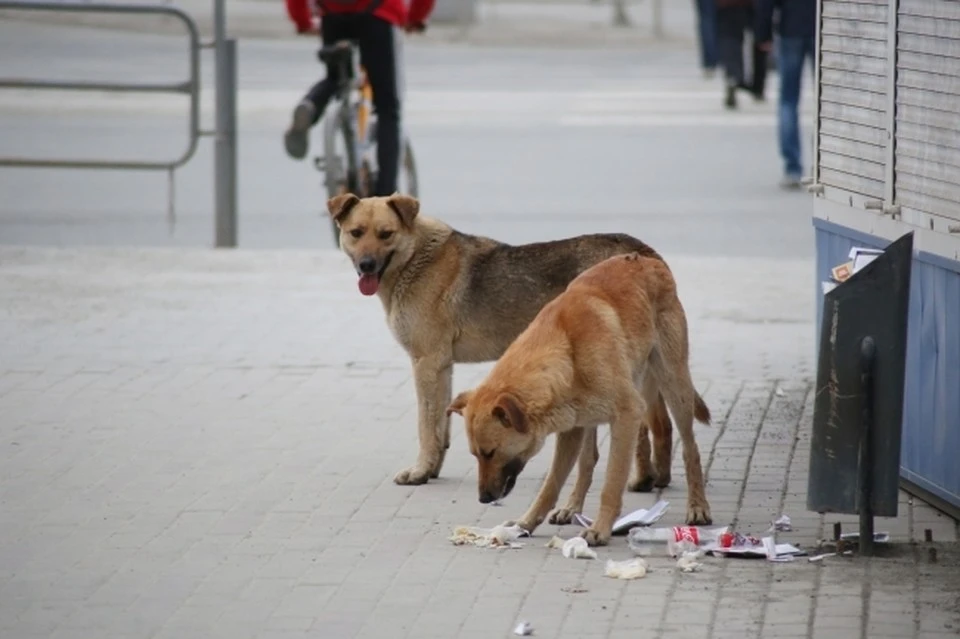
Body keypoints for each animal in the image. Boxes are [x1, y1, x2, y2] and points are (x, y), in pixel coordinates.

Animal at [330, 190, 676, 490]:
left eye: (385, 234)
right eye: (356, 233)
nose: (366, 266)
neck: (415, 257)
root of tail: (641, 251)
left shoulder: (426, 363)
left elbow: (426, 426)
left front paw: (419, 472)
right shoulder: (442, 367)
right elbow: (441, 428)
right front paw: (431, 470)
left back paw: (639, 481)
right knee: (661, 424)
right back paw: (655, 479)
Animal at [446, 254, 708, 544]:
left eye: (490, 453)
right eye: (475, 455)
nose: (483, 499)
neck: (567, 351)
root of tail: (649, 260)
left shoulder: (628, 415)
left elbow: (612, 482)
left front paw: (601, 528)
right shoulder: (570, 429)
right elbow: (551, 484)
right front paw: (527, 522)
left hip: (674, 385)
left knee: (690, 449)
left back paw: (698, 506)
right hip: (587, 418)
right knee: (587, 461)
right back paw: (572, 507)